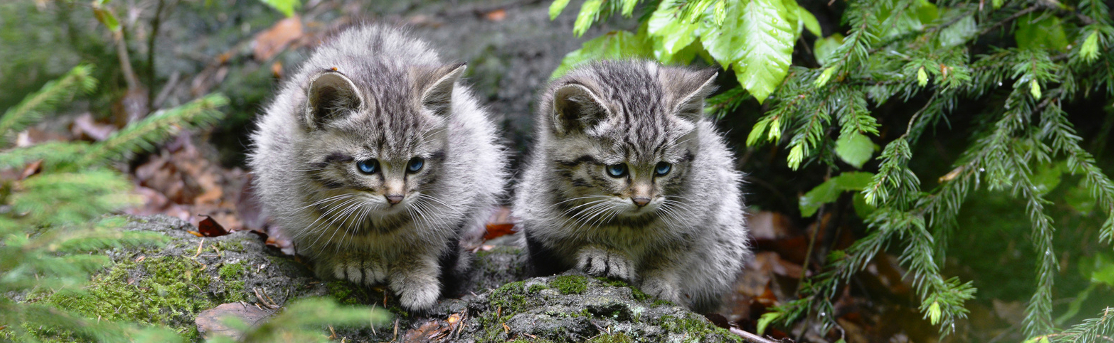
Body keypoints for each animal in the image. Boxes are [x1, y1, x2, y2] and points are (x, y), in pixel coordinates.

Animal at [250, 24, 507, 311]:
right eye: (367, 166)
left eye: (415, 164)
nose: (396, 197)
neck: (375, 224)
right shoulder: (285, 194)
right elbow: (325, 241)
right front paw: (355, 257)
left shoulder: (458, 188)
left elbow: (426, 240)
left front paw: (415, 272)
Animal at [516, 60, 753, 311]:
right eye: (617, 170)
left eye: (663, 168)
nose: (642, 200)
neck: (628, 225)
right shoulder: (539, 221)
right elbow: (572, 241)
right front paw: (606, 253)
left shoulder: (704, 212)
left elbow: (675, 253)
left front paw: (660, 279)